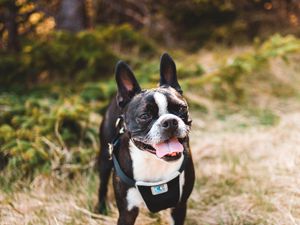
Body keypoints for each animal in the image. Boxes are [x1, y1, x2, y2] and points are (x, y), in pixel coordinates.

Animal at [96, 53, 195, 225]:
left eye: (181, 108)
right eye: (144, 116)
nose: (170, 121)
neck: (153, 160)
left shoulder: (179, 206)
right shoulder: (127, 212)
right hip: (104, 157)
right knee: (102, 183)